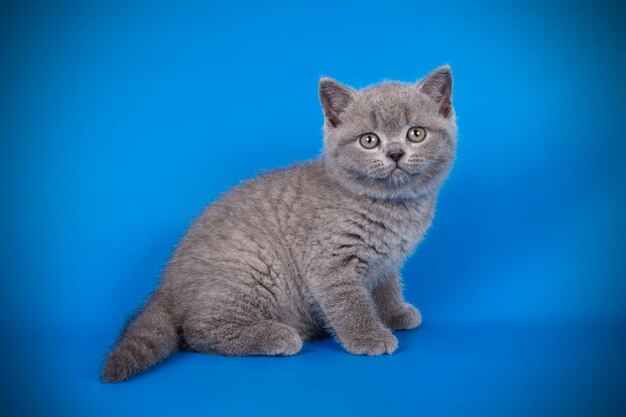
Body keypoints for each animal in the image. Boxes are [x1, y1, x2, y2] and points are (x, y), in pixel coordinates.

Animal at [101, 65, 454, 380]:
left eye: (416, 134)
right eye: (369, 140)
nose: (395, 153)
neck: (393, 208)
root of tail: (165, 288)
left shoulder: (386, 261)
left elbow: (386, 287)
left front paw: (394, 313)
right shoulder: (329, 262)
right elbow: (350, 303)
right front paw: (368, 337)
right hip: (252, 266)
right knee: (197, 331)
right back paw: (278, 336)